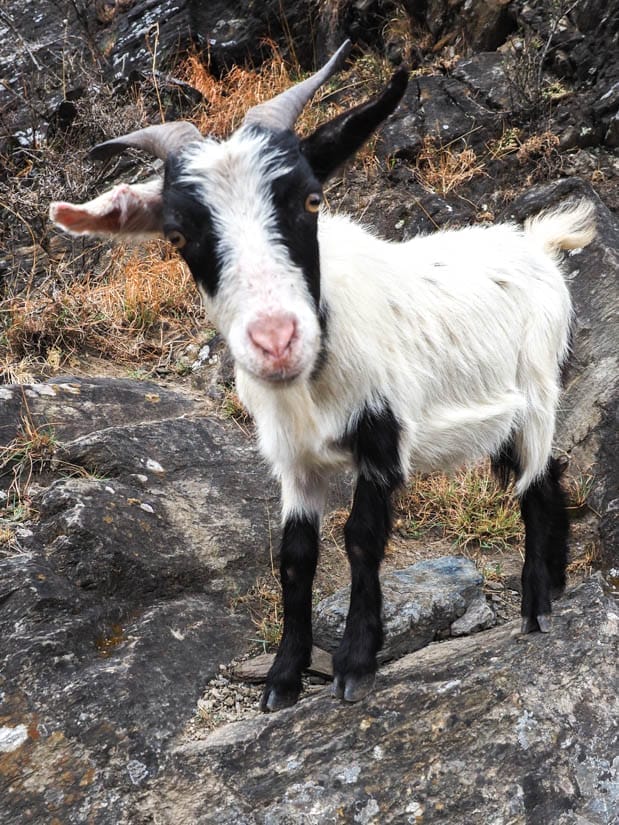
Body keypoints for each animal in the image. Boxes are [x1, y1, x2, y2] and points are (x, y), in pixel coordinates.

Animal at [50, 42, 596, 712]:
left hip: (538, 389)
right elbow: (295, 557)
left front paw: (355, 663)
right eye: (177, 234)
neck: (312, 382)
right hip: (502, 417)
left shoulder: (383, 437)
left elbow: (361, 537)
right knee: (545, 475)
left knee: (535, 483)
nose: (276, 339)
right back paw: (557, 587)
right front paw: (282, 679)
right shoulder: (292, 459)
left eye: (311, 200)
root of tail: (539, 245)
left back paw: (537, 606)